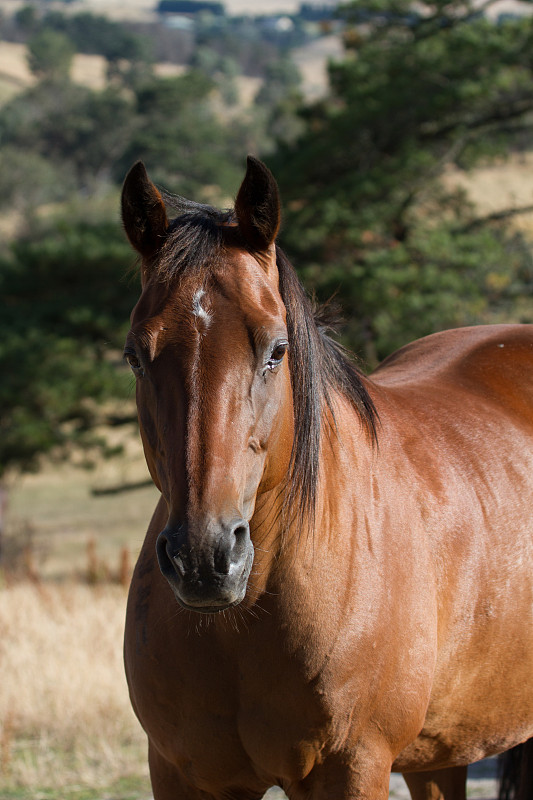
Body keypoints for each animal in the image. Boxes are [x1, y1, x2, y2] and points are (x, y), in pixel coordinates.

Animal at [121, 158, 532, 800]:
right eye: (136, 355)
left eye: (276, 349)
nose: (205, 559)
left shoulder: (352, 766)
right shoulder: (181, 773)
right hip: (440, 751)